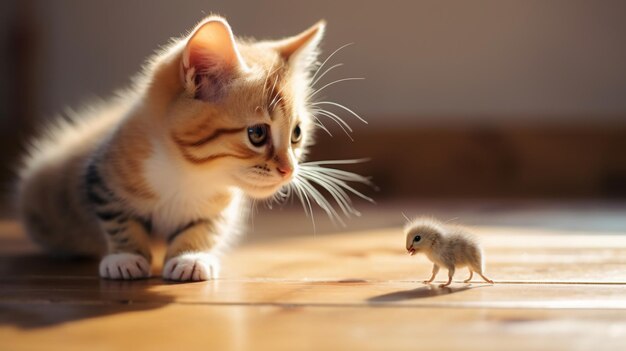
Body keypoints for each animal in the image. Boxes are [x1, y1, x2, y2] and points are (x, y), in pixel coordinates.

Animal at [17, 16, 368, 284]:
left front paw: (191, 257)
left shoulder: (221, 205)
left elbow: (207, 227)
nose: (289, 169)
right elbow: (118, 218)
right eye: (257, 134)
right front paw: (125, 256)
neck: (187, 173)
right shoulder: (101, 178)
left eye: (296, 133)